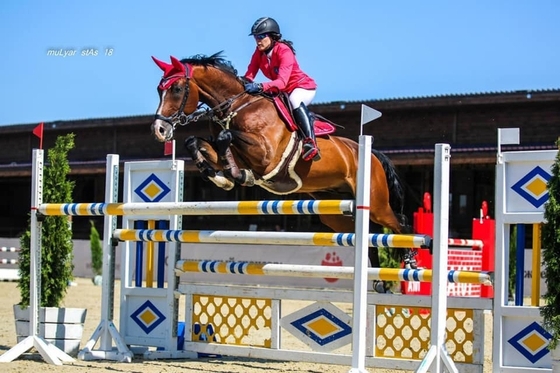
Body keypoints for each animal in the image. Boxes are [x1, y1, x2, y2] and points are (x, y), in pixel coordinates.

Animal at [150, 51, 416, 290]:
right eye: (159, 89)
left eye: (176, 89)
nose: (160, 130)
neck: (237, 106)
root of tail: (370, 153)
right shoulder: (233, 152)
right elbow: (195, 142)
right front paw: (219, 176)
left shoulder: (265, 155)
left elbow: (226, 137)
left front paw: (235, 176)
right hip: (336, 213)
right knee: (369, 234)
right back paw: (379, 279)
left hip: (377, 203)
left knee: (400, 224)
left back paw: (410, 264)